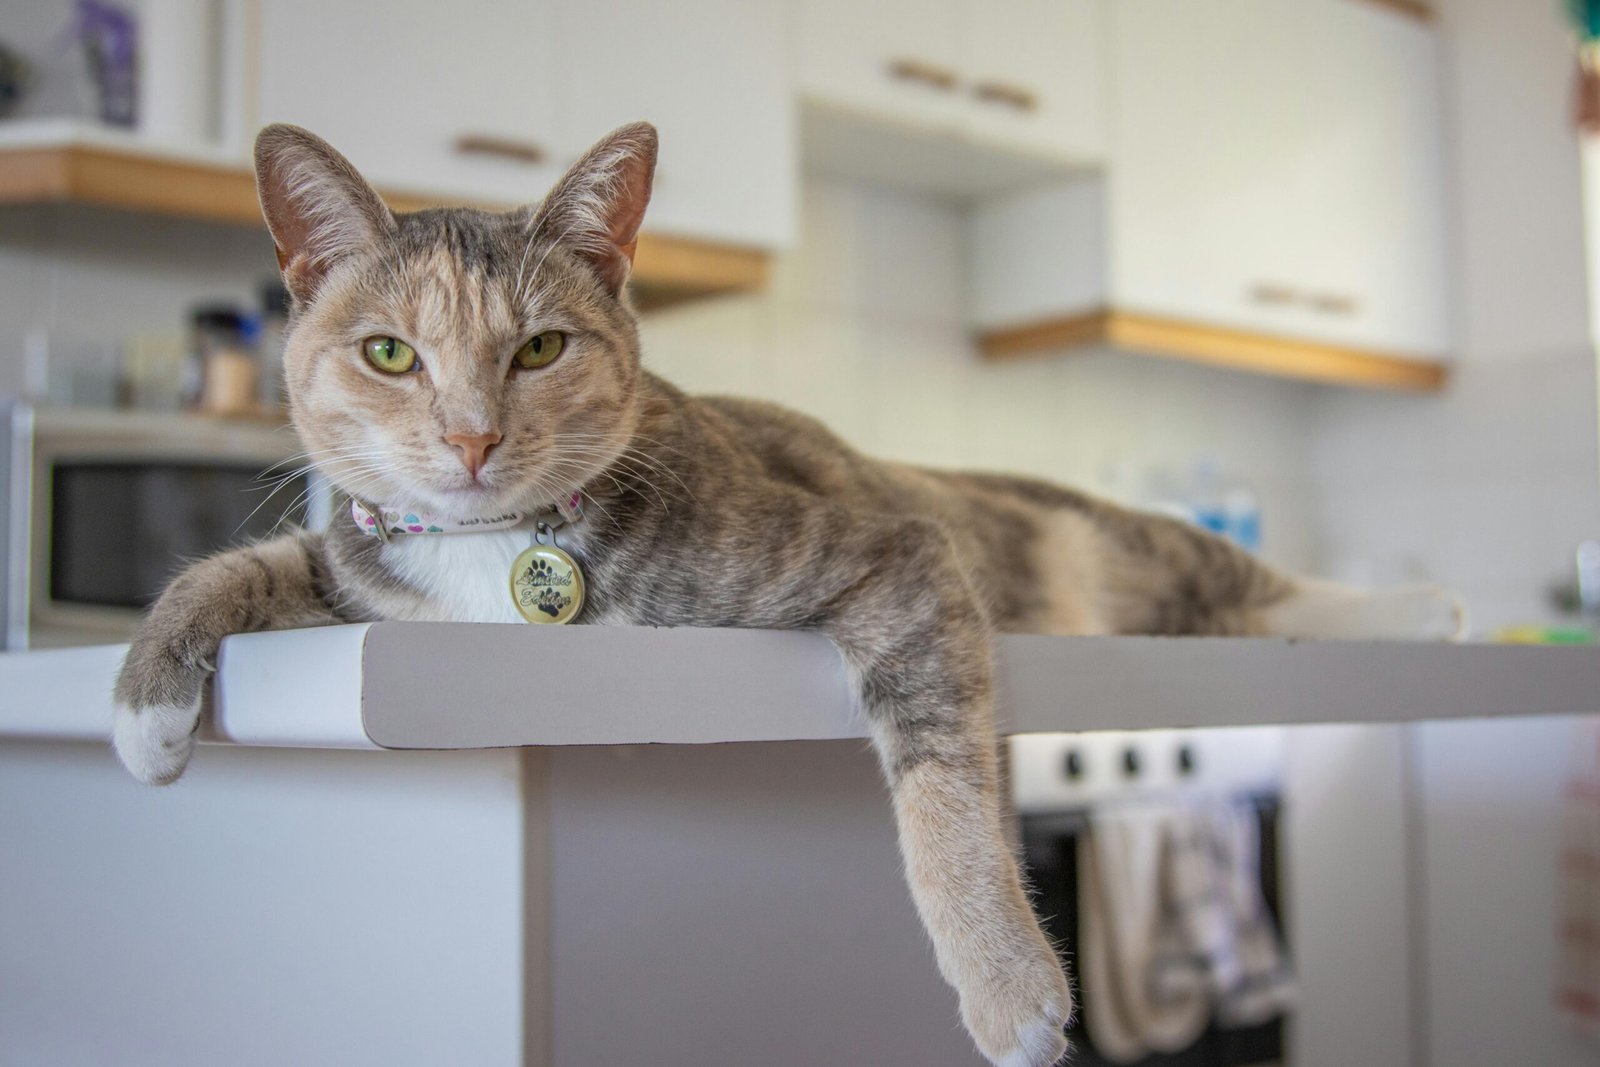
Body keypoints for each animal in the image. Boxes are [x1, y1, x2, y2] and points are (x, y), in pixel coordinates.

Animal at [109, 119, 1465, 1067]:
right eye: (389, 352)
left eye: (540, 347)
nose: (472, 438)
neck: (500, 550)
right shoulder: (364, 566)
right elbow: (242, 564)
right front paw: (146, 711)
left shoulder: (892, 551)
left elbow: (940, 788)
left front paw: (1011, 987)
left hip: (1124, 546)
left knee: (1256, 580)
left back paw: (1422, 611)